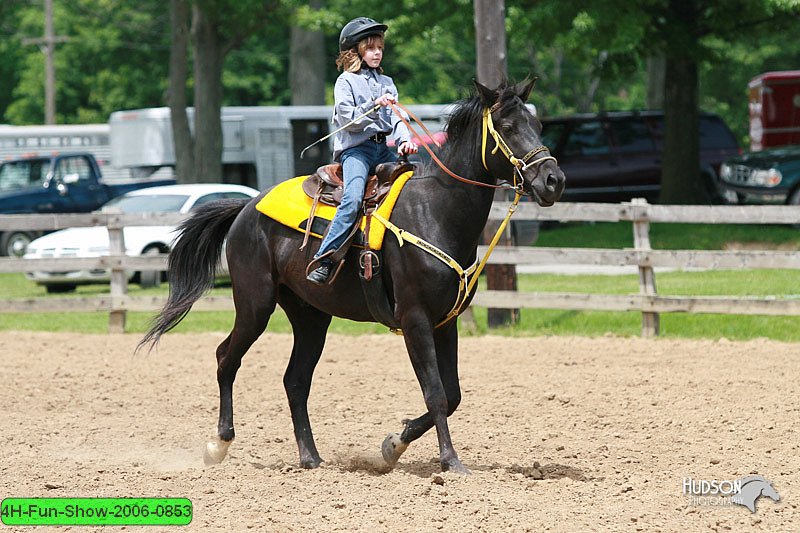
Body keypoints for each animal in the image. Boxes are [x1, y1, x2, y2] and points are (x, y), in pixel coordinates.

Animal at [139, 79, 564, 474]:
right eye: (507, 126)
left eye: (538, 123)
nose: (553, 180)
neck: (435, 210)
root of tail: (247, 206)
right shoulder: (415, 319)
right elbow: (436, 393)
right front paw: (450, 461)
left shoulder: (446, 322)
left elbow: (453, 393)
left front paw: (394, 444)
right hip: (254, 304)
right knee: (226, 358)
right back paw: (219, 444)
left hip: (310, 317)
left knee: (295, 381)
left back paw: (310, 457)